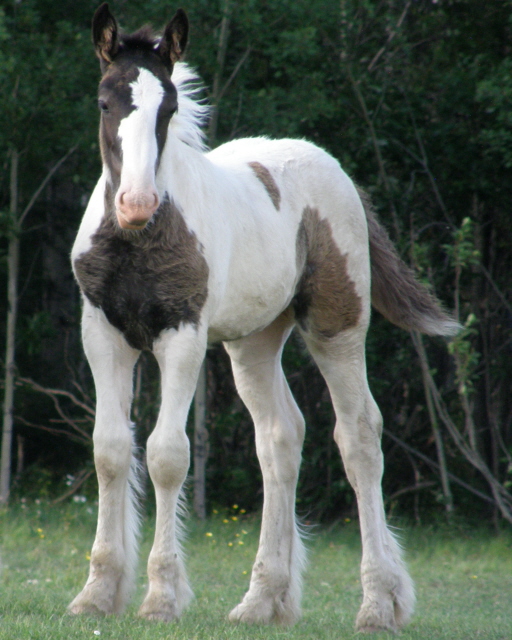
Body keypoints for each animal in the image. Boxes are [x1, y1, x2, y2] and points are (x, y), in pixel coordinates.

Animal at [70, 5, 458, 632]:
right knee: (280, 438)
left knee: (358, 436)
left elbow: (166, 455)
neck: (137, 240)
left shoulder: (182, 335)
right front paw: (97, 594)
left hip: (337, 326)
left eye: (169, 108)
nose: (136, 204)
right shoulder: (103, 334)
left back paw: (378, 604)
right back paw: (261, 602)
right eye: (106, 102)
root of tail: (338, 172)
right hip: (253, 343)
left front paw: (161, 597)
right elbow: (109, 450)